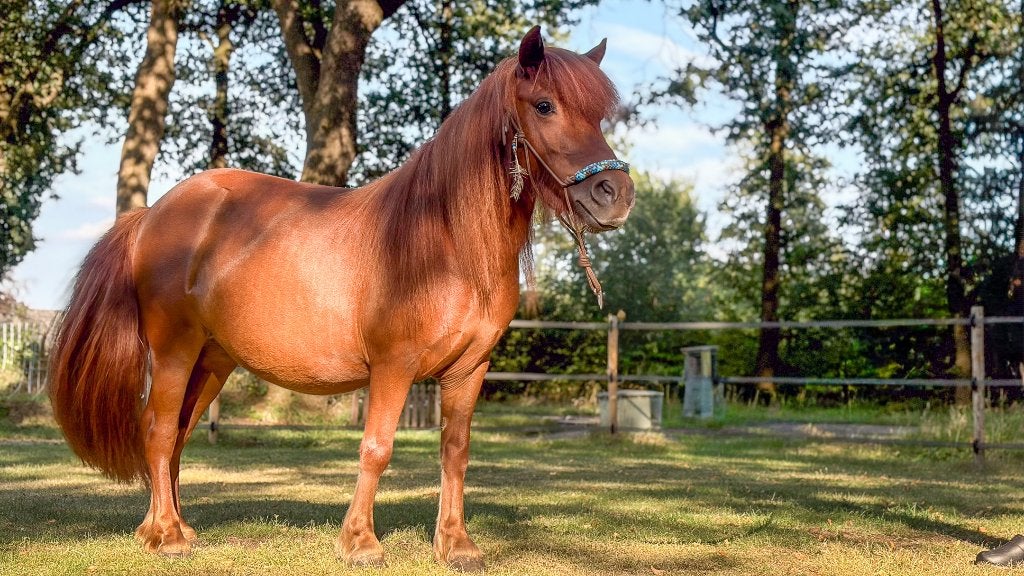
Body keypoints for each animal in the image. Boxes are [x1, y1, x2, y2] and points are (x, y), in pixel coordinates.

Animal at [48, 25, 634, 570]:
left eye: (599, 117)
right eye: (544, 105)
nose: (616, 195)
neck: (447, 241)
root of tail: (151, 214)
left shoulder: (470, 368)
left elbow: (456, 450)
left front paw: (456, 545)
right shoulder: (393, 365)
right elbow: (377, 447)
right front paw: (361, 543)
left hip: (213, 359)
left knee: (178, 435)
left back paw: (171, 527)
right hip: (175, 349)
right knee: (159, 427)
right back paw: (166, 536)